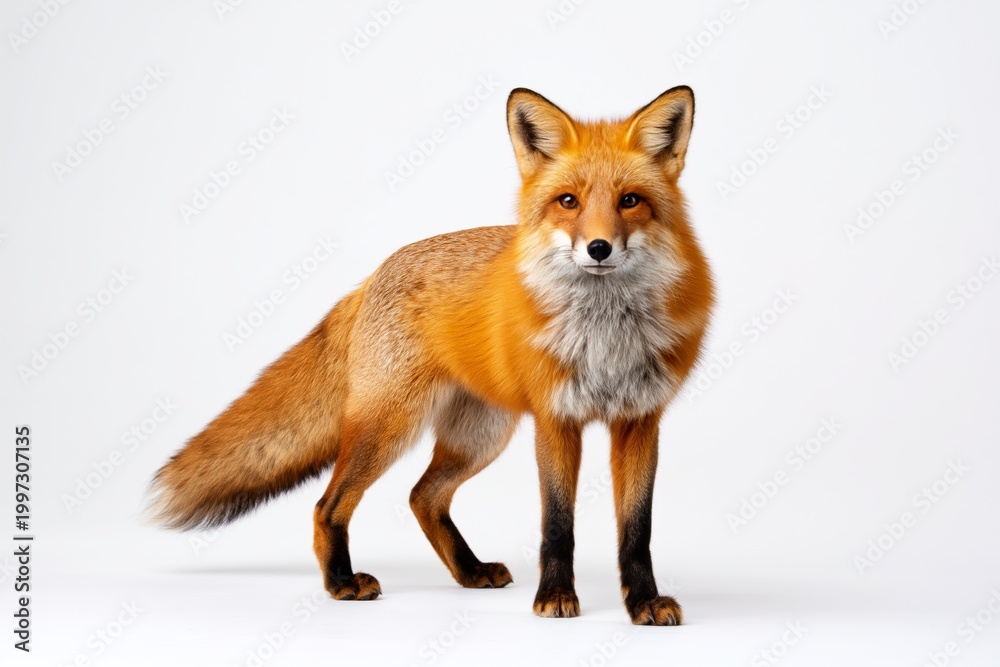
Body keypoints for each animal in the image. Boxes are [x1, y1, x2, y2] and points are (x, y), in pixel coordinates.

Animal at [149, 85, 714, 625]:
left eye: (630, 200)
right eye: (568, 201)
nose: (598, 248)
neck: (603, 338)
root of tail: (373, 275)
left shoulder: (640, 421)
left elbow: (637, 531)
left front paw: (643, 603)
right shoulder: (556, 420)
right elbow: (557, 525)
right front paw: (555, 597)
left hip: (479, 437)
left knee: (423, 497)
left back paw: (469, 571)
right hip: (390, 428)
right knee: (328, 504)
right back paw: (341, 583)